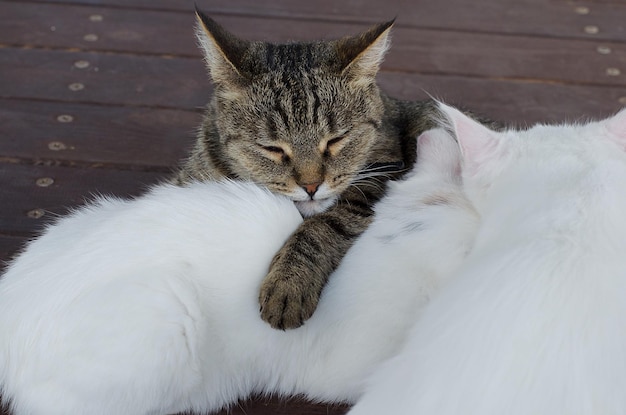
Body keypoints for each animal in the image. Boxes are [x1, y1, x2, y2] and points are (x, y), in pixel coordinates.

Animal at [172, 8, 438, 330]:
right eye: (272, 148)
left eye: (336, 140)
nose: (311, 186)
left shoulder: (377, 177)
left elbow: (321, 227)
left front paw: (289, 283)